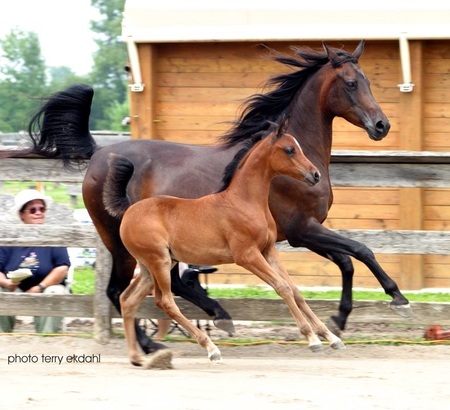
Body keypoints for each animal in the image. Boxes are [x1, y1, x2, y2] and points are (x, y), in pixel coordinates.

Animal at [104, 118, 344, 366]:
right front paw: (312, 339)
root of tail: (129, 210)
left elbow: (295, 290)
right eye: (289, 150)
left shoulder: (268, 250)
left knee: (127, 300)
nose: (315, 175)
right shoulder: (247, 256)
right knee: (165, 301)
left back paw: (137, 358)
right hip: (158, 262)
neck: (244, 201)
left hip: (150, 267)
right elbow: (282, 287)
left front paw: (331, 337)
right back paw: (211, 348)